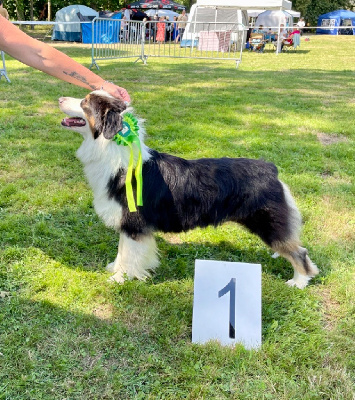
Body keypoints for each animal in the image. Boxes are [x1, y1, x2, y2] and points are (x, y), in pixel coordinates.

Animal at [58, 90, 320, 288]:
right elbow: (123, 251)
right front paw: (115, 269)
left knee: (300, 252)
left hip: (268, 224)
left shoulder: (134, 223)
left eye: (84, 102)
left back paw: (299, 281)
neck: (115, 154)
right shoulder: (128, 224)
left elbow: (130, 254)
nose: (59, 99)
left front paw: (120, 279)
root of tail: (271, 169)